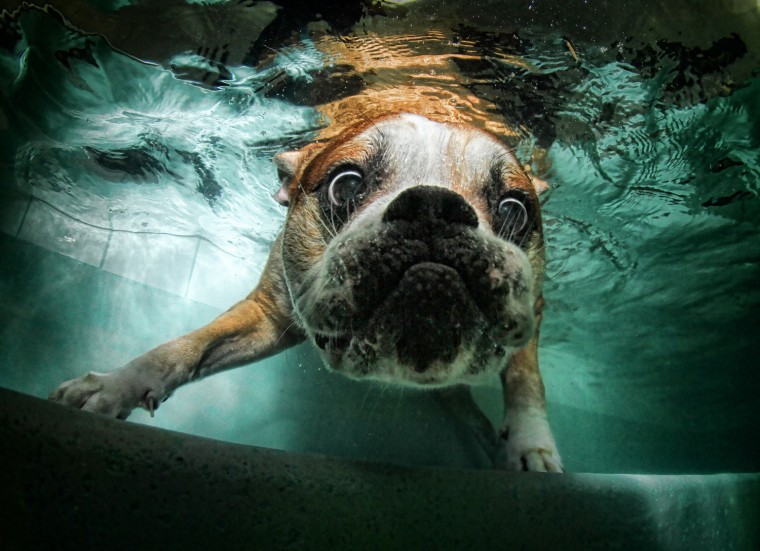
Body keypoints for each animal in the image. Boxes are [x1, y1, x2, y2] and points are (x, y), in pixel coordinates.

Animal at [50, 113, 560, 474]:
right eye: (346, 184)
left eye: (514, 210)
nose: (434, 205)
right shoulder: (265, 318)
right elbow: (183, 348)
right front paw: (117, 384)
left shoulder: (531, 312)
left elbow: (526, 382)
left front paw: (531, 446)